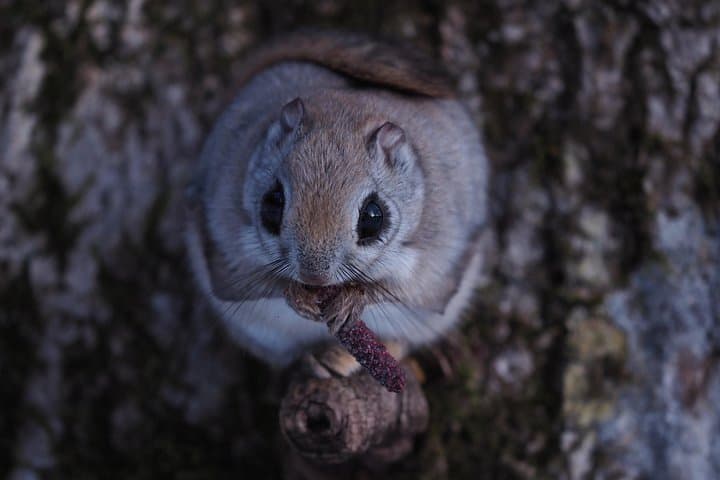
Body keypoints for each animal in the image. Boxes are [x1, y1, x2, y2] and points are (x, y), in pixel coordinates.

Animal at [185, 29, 489, 377]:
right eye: (272, 204)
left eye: (373, 217)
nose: (314, 277)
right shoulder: (227, 242)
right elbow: (252, 282)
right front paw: (297, 296)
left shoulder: (437, 257)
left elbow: (407, 291)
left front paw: (353, 299)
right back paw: (319, 359)